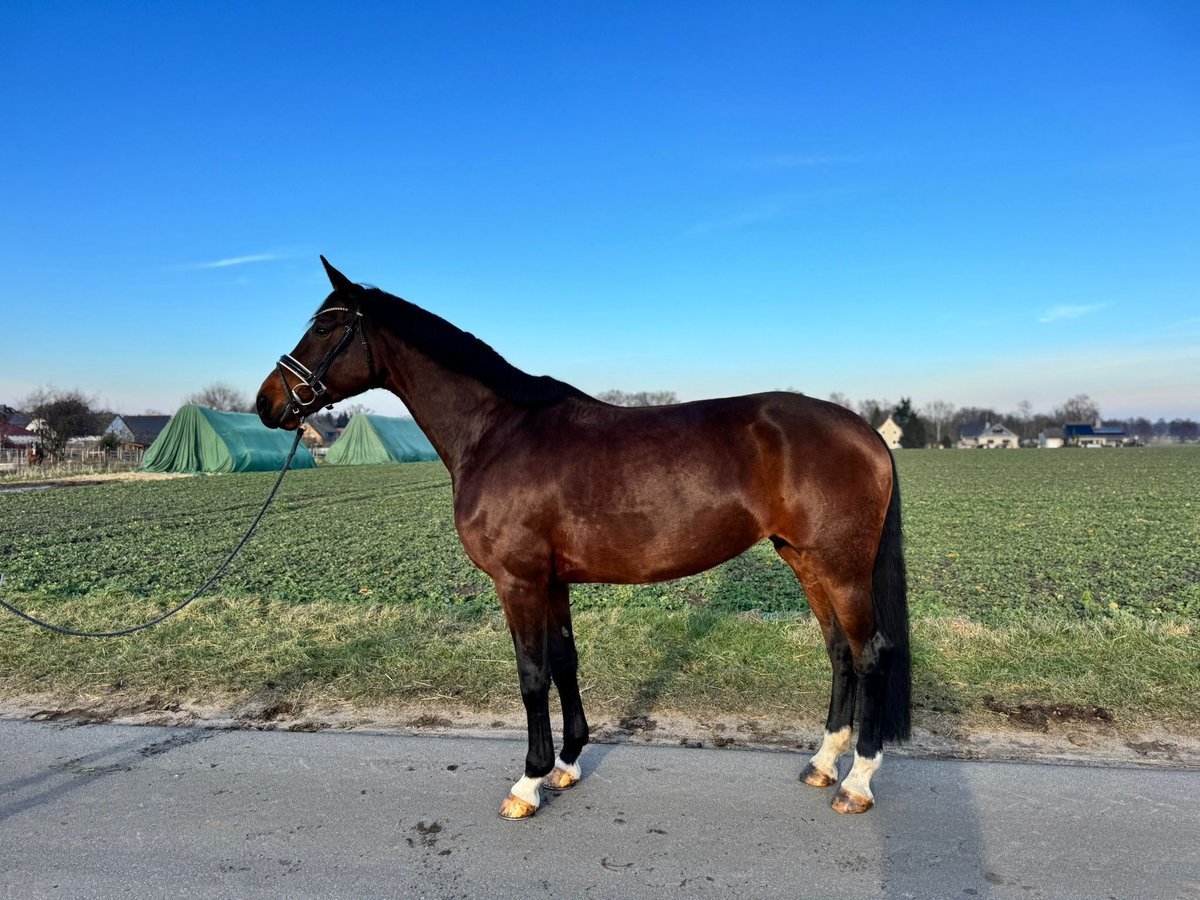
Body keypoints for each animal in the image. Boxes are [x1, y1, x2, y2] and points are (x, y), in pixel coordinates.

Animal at [255, 256, 907, 820]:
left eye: (326, 327)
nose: (266, 403)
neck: (498, 431)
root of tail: (866, 432)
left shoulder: (517, 581)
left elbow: (531, 673)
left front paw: (527, 782)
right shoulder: (553, 581)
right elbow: (565, 661)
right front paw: (566, 764)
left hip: (842, 568)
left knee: (870, 653)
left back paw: (856, 781)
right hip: (805, 560)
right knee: (839, 651)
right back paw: (823, 762)